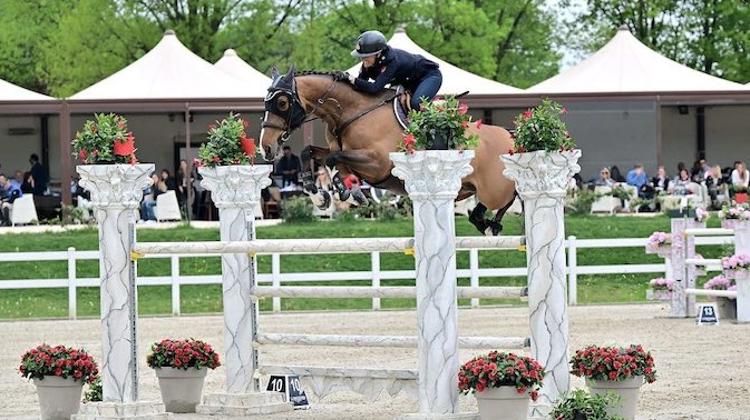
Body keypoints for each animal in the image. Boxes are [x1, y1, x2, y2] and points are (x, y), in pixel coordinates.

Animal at [262, 67, 520, 235]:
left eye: (282, 103)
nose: (266, 147)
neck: (350, 112)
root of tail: (510, 135)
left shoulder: (378, 163)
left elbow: (334, 160)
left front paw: (348, 194)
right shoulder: (345, 155)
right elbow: (311, 153)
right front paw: (320, 195)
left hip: (493, 187)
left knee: (511, 195)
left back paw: (491, 225)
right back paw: (485, 223)